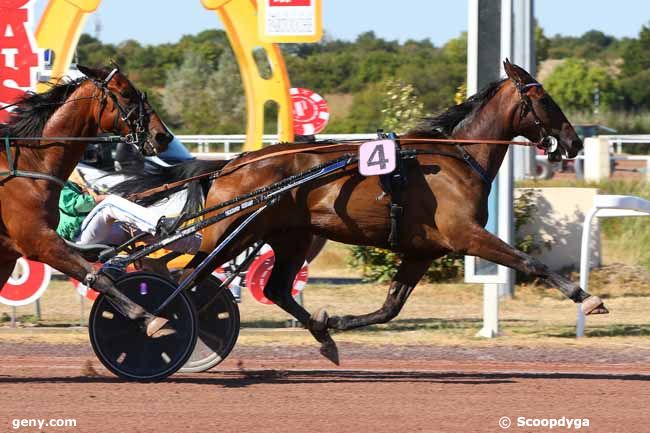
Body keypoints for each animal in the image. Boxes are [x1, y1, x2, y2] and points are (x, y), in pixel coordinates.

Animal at [0, 65, 173, 334]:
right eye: (126, 94)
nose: (163, 136)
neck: (27, 167)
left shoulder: (8, 255)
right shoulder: (40, 241)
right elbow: (97, 277)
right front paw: (146, 316)